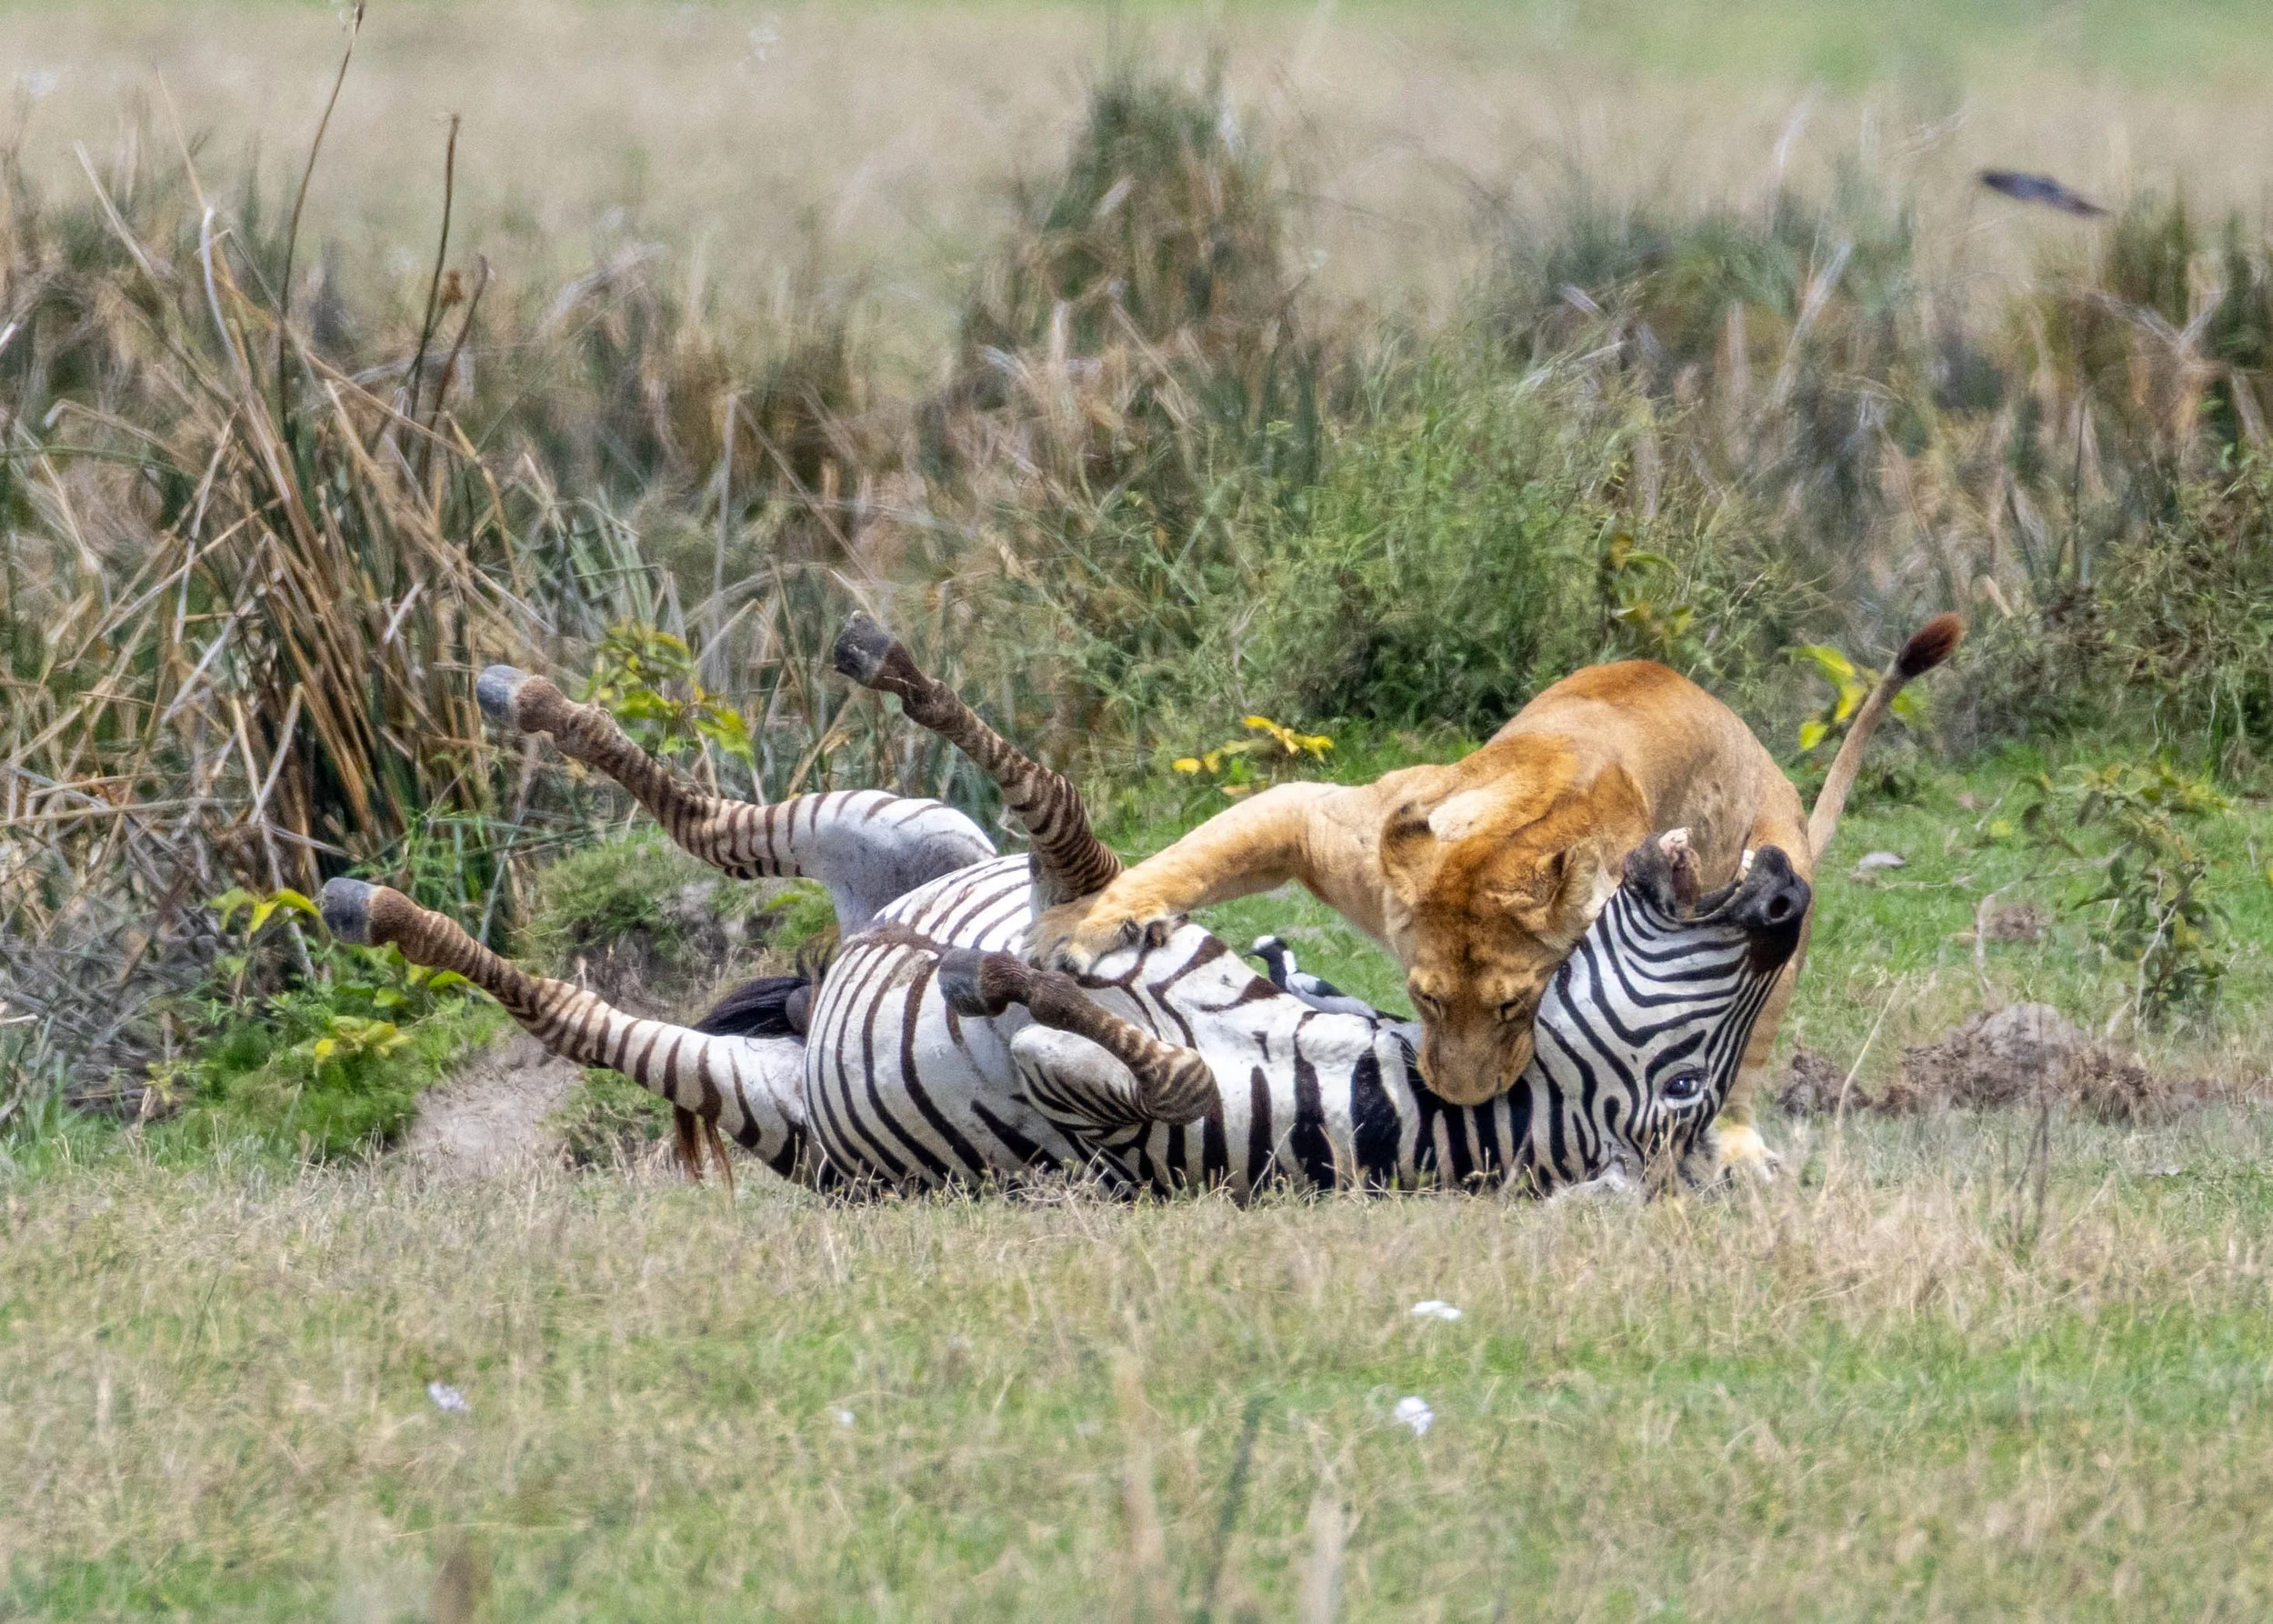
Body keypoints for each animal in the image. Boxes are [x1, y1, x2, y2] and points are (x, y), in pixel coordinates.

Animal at [1039, 615, 1964, 1167]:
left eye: (1520, 1005)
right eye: (1425, 997)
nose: (1461, 1101)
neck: (1513, 832)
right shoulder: (1326, 822)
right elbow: (1191, 853)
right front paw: (1081, 925)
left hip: (1783, 912)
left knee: (1747, 1055)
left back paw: (1737, 1150)